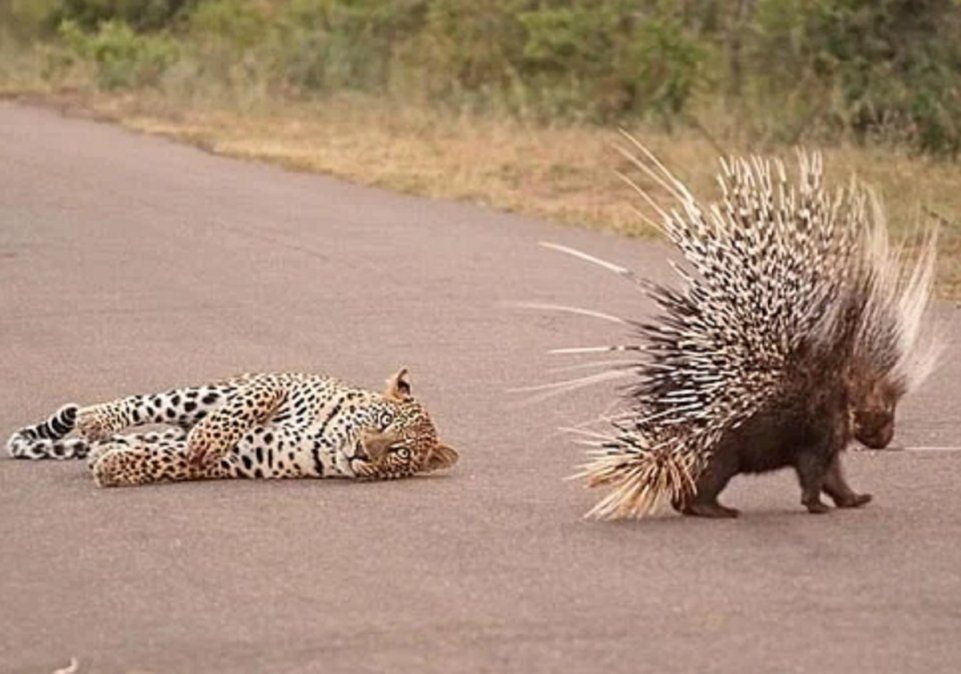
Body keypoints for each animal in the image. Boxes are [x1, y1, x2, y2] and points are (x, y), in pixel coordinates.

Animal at [5, 368, 458, 487]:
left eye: (400, 451)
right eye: (382, 421)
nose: (362, 452)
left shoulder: (250, 457)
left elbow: (174, 462)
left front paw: (115, 468)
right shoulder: (278, 382)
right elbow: (243, 407)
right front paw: (208, 437)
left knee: (155, 439)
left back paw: (108, 449)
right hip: (205, 391)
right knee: (147, 404)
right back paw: (95, 419)